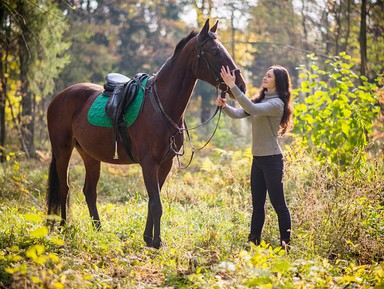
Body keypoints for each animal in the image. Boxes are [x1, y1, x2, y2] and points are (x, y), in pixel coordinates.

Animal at [47, 18, 246, 248]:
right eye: (214, 51)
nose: (240, 84)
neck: (161, 106)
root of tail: (59, 97)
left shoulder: (165, 163)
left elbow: (153, 201)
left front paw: (149, 239)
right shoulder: (149, 163)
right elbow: (156, 204)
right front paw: (156, 242)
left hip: (90, 155)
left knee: (89, 191)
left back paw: (98, 230)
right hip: (62, 150)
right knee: (64, 188)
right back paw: (63, 228)